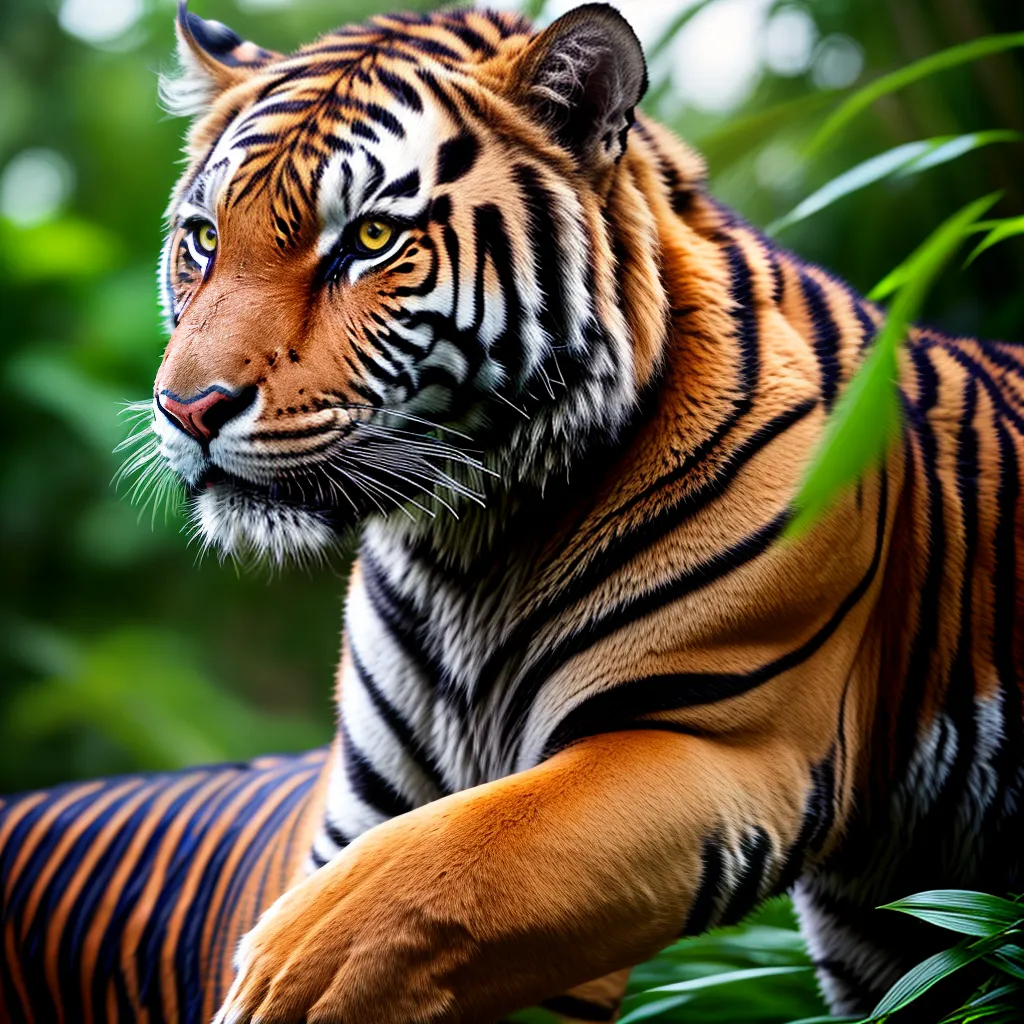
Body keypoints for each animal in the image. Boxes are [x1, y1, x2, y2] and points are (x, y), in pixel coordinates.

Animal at [2, 2, 1023, 1022]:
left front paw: (280, 983)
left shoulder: (712, 746)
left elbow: (427, 877)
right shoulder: (367, 804)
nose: (187, 409)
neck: (469, 544)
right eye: (205, 238)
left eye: (371, 239)